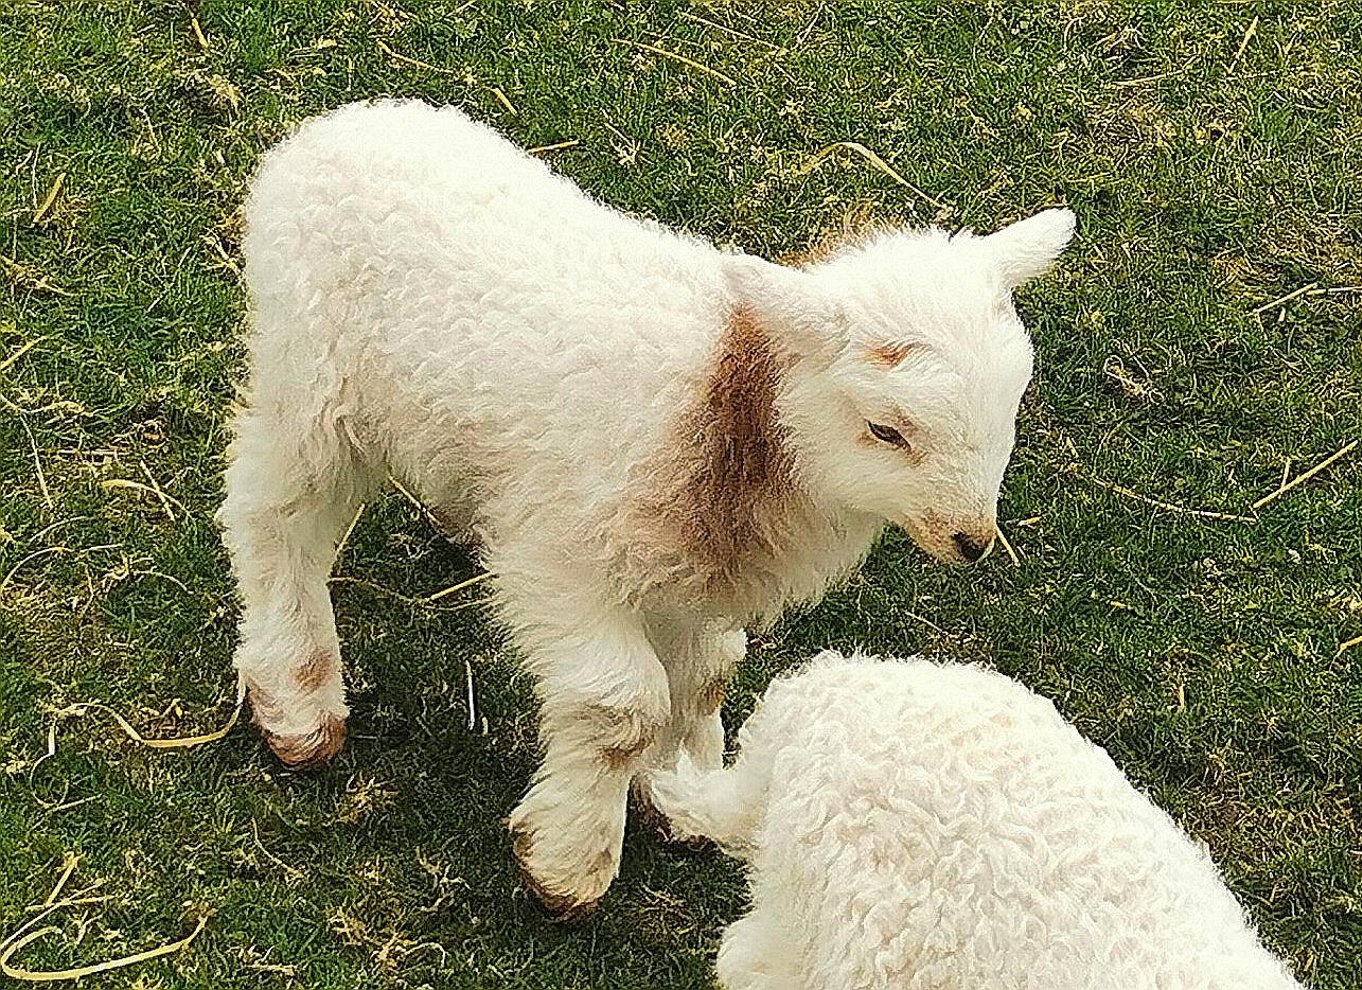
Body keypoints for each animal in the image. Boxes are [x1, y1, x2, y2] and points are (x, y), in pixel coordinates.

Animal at [215, 98, 1073, 915]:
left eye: (1012, 404)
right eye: (885, 429)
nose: (973, 539)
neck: (730, 402)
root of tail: (331, 129)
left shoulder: (690, 570)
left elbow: (708, 675)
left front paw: (683, 790)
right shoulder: (559, 558)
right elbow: (621, 704)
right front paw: (569, 862)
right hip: (312, 380)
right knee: (271, 513)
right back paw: (298, 696)